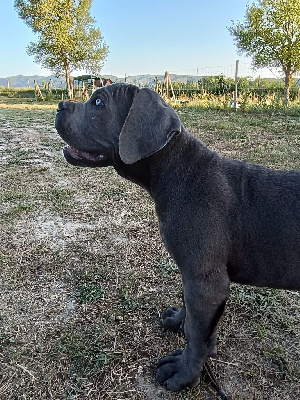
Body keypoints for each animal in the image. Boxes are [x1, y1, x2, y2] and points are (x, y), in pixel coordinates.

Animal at [55, 83, 300, 392]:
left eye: (98, 102)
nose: (59, 106)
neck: (175, 171)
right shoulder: (194, 278)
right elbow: (192, 315)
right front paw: (180, 323)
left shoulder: (206, 282)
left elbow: (196, 334)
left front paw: (184, 373)